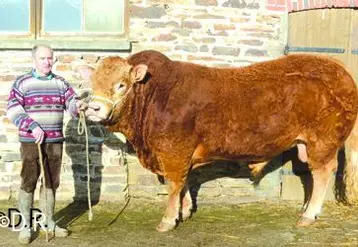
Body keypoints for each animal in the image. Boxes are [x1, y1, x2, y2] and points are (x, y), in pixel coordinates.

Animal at [77, 49, 358, 232]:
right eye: (93, 83)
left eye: (121, 85)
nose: (93, 109)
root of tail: (337, 67)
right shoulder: (181, 154)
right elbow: (185, 183)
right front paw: (184, 211)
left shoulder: (173, 151)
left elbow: (174, 184)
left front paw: (168, 220)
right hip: (306, 143)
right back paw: (306, 209)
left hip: (321, 142)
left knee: (323, 173)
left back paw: (308, 215)